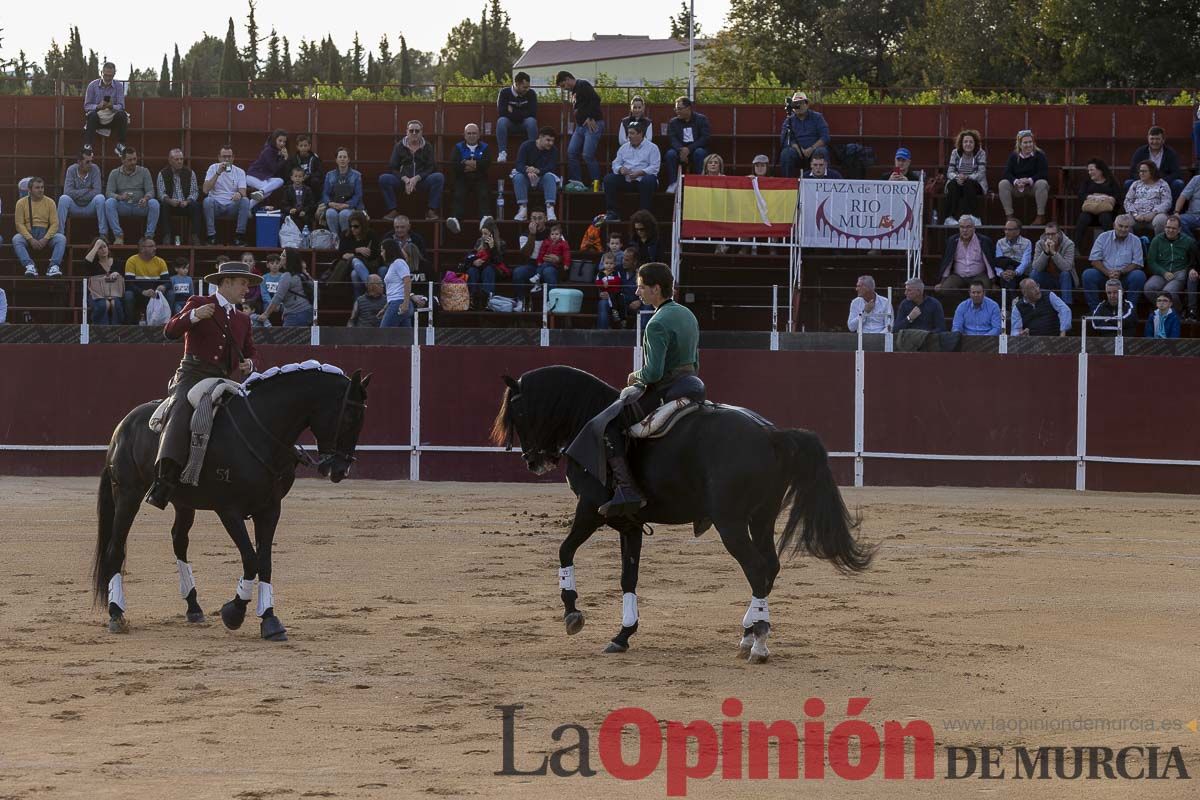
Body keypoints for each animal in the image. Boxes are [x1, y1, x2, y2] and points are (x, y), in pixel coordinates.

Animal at [93, 367, 367, 642]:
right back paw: (116, 613)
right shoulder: (229, 511)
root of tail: (122, 426)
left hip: (183, 502)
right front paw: (234, 612)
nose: (341, 470)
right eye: (349, 417)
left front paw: (269, 619)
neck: (261, 432)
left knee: (179, 541)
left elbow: (264, 562)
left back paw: (193, 606)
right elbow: (250, 559)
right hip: (128, 493)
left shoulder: (270, 509)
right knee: (115, 547)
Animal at [489, 367, 873, 662]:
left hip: (731, 523)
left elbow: (564, 550)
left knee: (756, 567)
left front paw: (572, 613)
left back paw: (759, 643)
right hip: (761, 517)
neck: (589, 417)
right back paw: (748, 633)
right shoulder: (628, 523)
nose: (533, 461)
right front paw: (623, 634)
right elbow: (628, 578)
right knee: (769, 566)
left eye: (519, 413)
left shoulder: (589, 509)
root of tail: (771, 434)